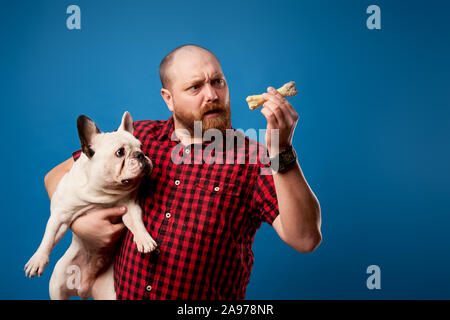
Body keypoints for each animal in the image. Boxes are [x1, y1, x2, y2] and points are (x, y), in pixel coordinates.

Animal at [25, 111, 158, 298]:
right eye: (120, 152)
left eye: (141, 147)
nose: (140, 155)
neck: (102, 193)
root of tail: (84, 288)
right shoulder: (60, 215)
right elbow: (49, 236)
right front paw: (38, 259)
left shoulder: (130, 208)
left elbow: (137, 224)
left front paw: (145, 240)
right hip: (58, 283)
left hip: (109, 291)